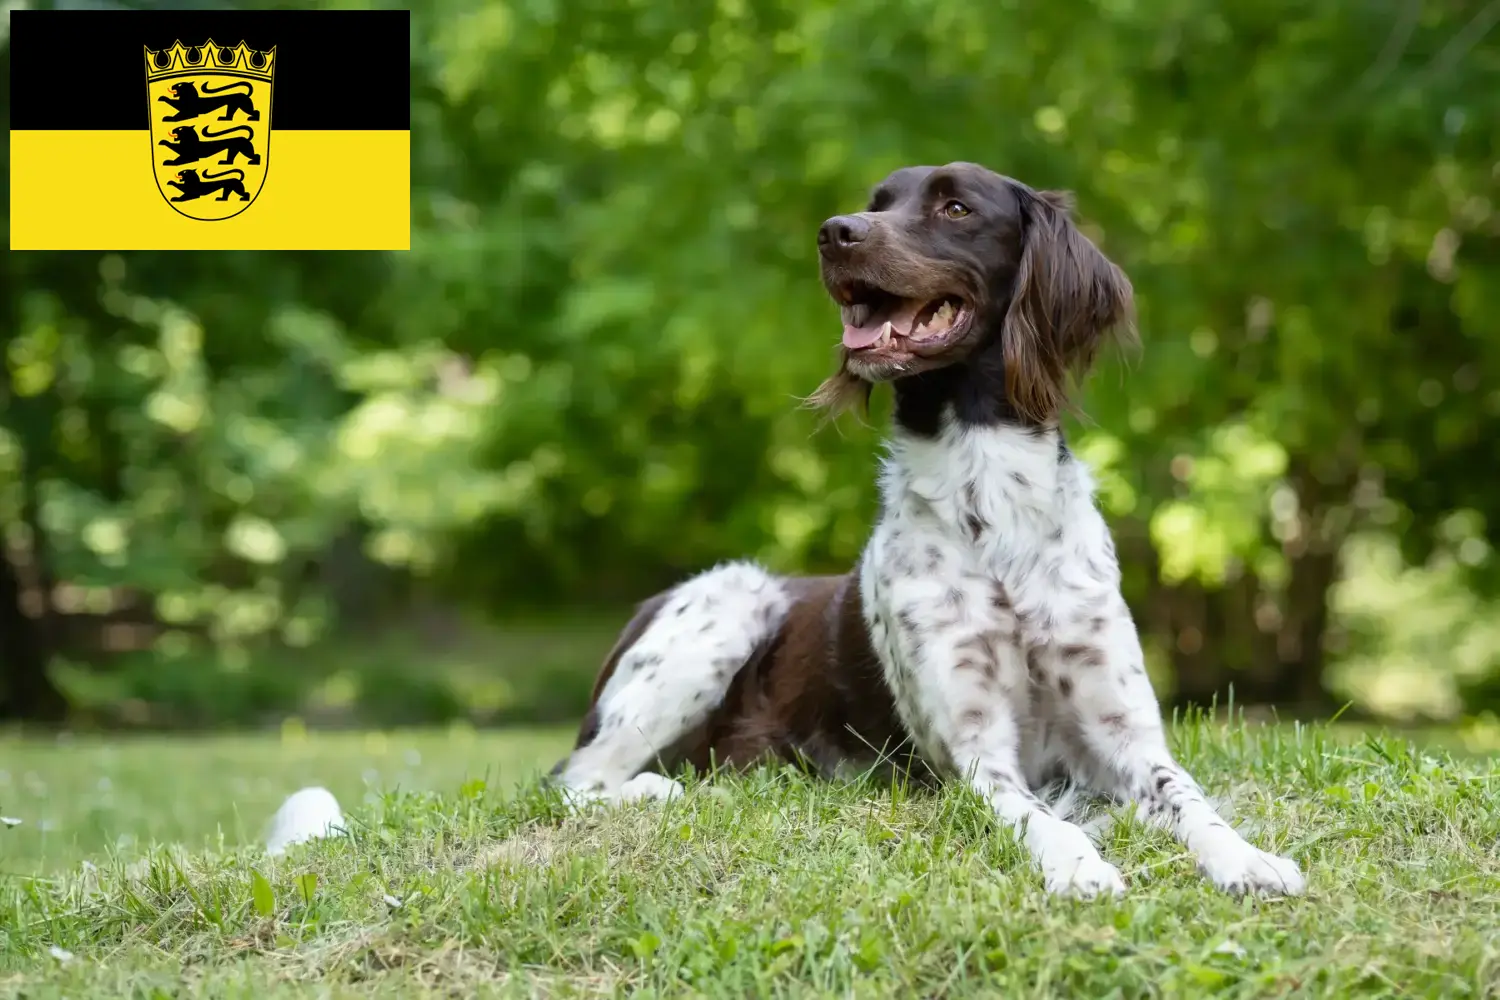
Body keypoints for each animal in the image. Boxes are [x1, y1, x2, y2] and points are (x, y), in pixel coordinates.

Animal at [552, 162, 1302, 899]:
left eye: (956, 208)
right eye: (876, 202)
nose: (835, 232)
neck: (990, 500)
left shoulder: (1127, 736)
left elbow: (1188, 798)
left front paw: (1248, 858)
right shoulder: (975, 756)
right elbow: (1041, 816)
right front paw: (1080, 866)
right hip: (731, 602)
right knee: (574, 778)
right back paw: (659, 790)